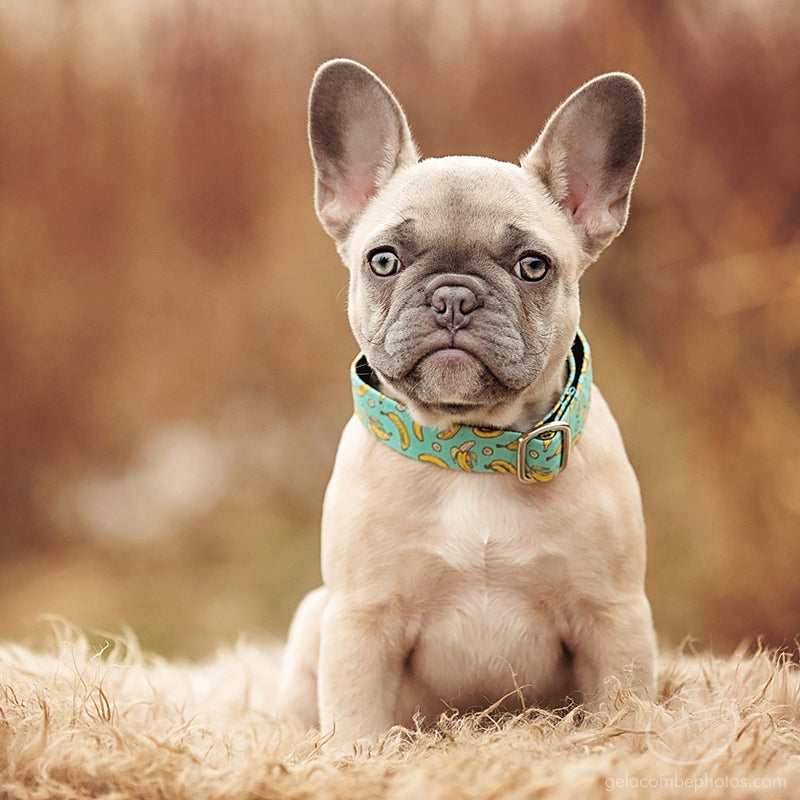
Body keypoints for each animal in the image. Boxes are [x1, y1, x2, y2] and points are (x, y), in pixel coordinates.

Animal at [276, 59, 656, 748]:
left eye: (533, 266)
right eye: (383, 260)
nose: (453, 297)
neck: (473, 449)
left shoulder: (613, 616)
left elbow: (623, 707)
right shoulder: (361, 620)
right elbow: (355, 720)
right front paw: (354, 755)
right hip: (312, 618)